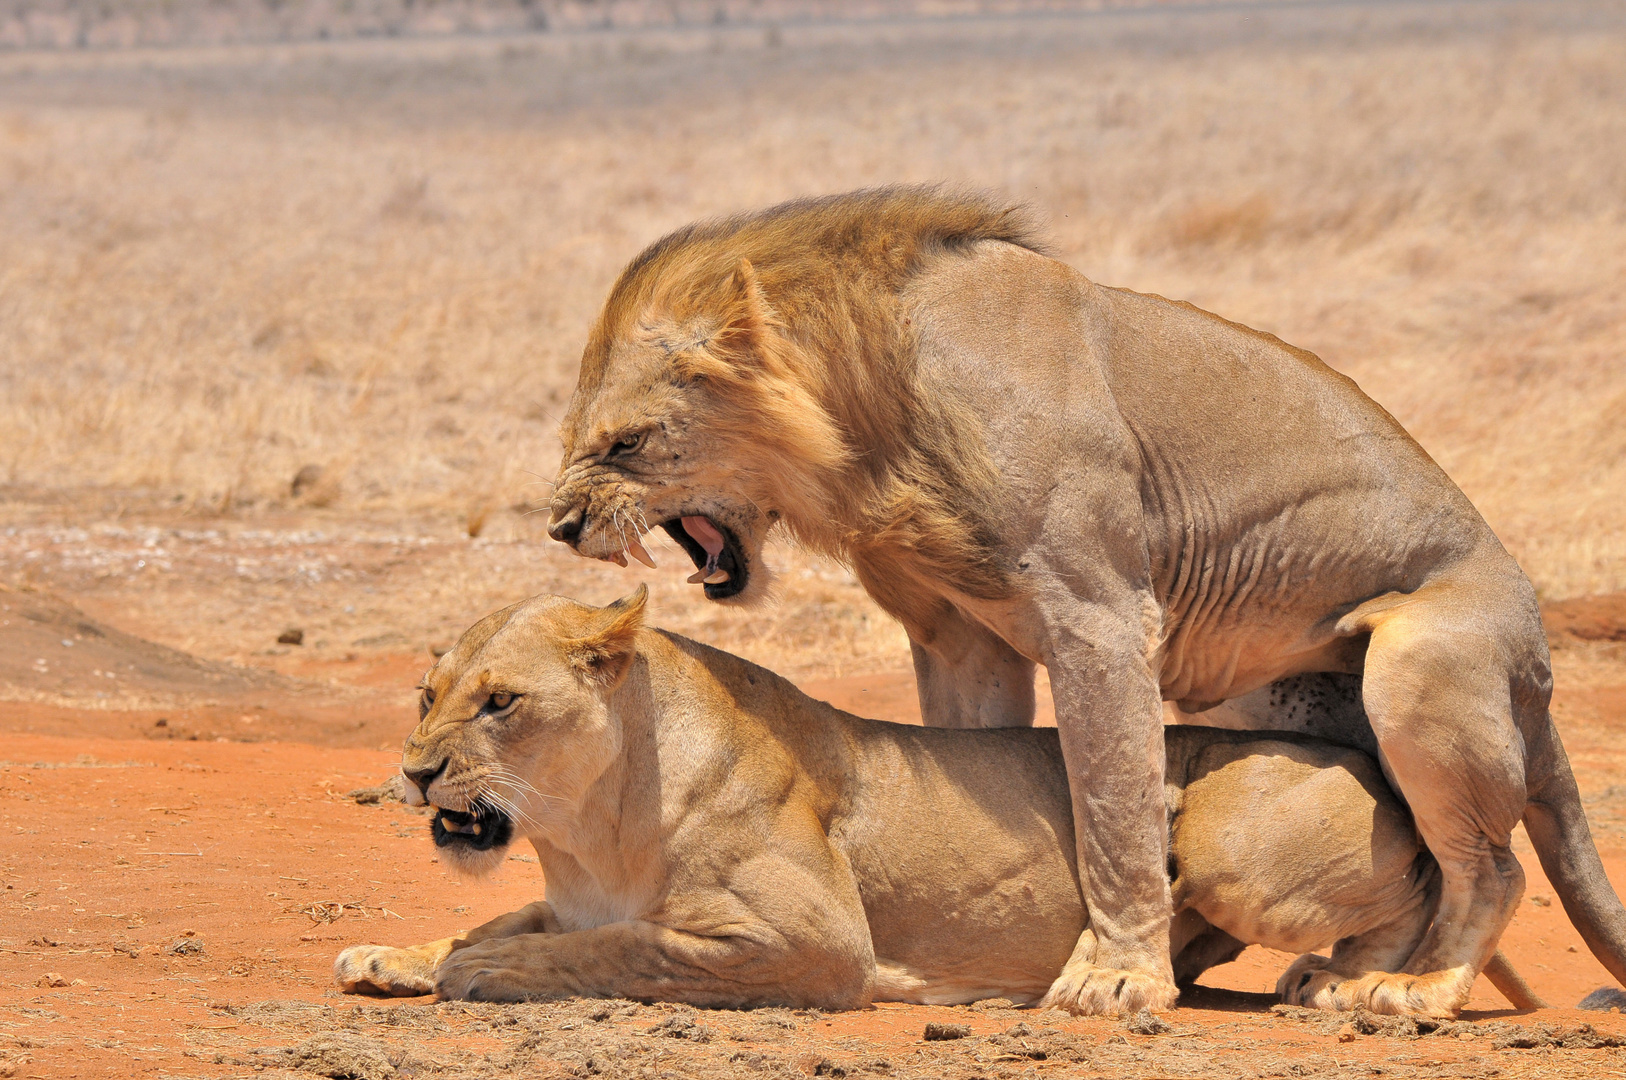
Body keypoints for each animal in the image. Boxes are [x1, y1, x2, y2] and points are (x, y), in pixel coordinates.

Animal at [336, 585, 1541, 1008]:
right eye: (428, 695)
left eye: (500, 703)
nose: (416, 771)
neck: (588, 828)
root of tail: (1364, 759)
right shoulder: (565, 892)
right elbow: (502, 917)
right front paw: (396, 957)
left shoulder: (812, 940)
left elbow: (624, 947)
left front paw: (486, 976)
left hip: (1229, 841)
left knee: (1455, 874)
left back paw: (1352, 981)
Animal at [546, 183, 1626, 1014]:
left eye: (626, 442)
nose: (559, 525)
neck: (871, 420)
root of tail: (1536, 657)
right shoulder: (956, 637)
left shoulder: (1099, 615)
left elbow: (1114, 806)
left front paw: (1118, 979)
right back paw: (1337, 976)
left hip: (1421, 664)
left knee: (1491, 863)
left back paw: (1412, 990)